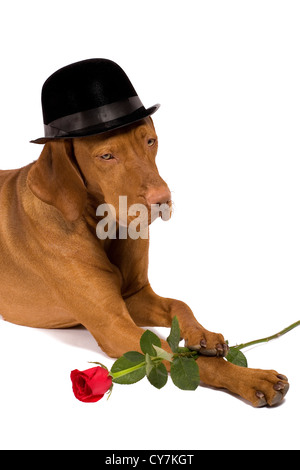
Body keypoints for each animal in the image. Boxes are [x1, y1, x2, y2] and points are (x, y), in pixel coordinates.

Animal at [0, 115, 290, 406]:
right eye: (106, 156)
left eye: (150, 141)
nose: (162, 199)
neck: (101, 224)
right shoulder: (113, 324)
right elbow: (188, 358)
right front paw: (252, 378)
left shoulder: (134, 296)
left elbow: (179, 304)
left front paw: (202, 335)